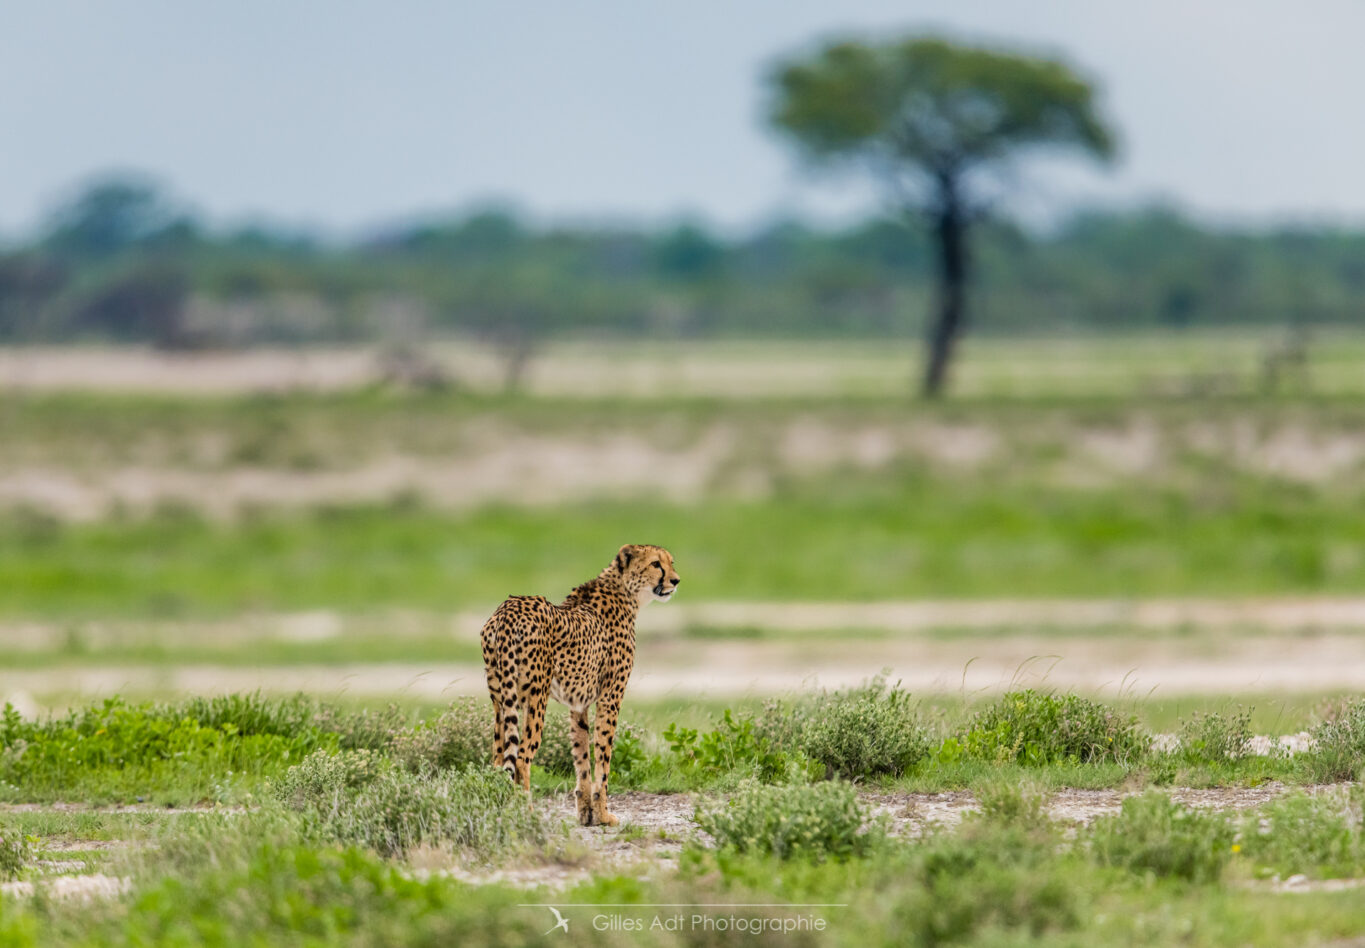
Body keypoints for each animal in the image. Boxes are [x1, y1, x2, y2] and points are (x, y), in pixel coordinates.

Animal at [480, 545, 682, 829]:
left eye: (670, 562)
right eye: (655, 564)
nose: (675, 580)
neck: (625, 592)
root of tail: (507, 610)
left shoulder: (578, 704)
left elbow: (582, 755)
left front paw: (587, 814)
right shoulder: (610, 697)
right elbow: (603, 757)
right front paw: (603, 814)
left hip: (500, 699)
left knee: (499, 758)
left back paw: (497, 810)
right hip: (535, 698)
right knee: (521, 758)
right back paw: (526, 814)